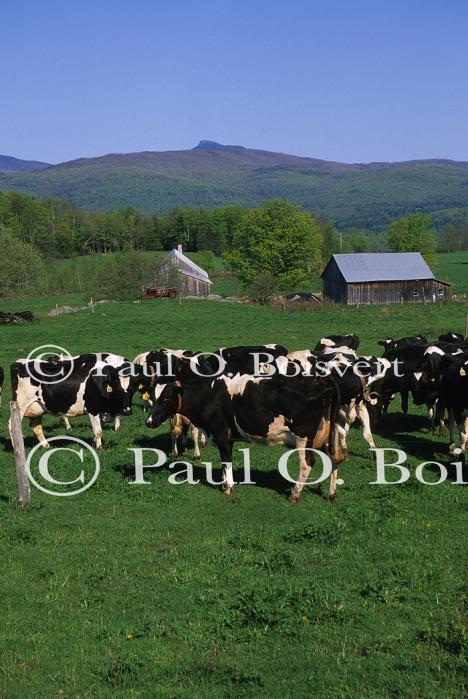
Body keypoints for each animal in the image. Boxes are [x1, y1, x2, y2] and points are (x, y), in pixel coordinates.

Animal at [10, 354, 143, 448]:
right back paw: (16, 448)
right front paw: (99, 448)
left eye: (132, 389)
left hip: (37, 407)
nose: (127, 410)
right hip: (20, 406)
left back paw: (46, 446)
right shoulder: (92, 408)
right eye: (117, 389)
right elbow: (98, 431)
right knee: (12, 425)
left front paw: (95, 442)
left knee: (36, 427)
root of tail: (18, 362)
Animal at [146, 369, 344, 502]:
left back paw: (295, 494)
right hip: (326, 435)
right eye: (152, 398)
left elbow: (226, 459)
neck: (209, 393)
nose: (149, 421)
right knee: (333, 457)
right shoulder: (228, 435)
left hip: (303, 437)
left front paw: (228, 487)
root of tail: (321, 379)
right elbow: (224, 460)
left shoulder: (220, 432)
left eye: (165, 398)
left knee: (307, 463)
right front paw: (223, 484)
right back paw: (331, 493)